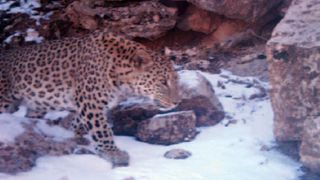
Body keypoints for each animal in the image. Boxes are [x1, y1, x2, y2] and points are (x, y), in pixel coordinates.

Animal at [0, 29, 180, 167]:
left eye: (176, 80)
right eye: (163, 82)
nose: (177, 102)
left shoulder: (85, 105)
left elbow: (79, 124)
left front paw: (74, 137)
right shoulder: (90, 102)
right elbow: (102, 129)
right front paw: (112, 153)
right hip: (4, 100)